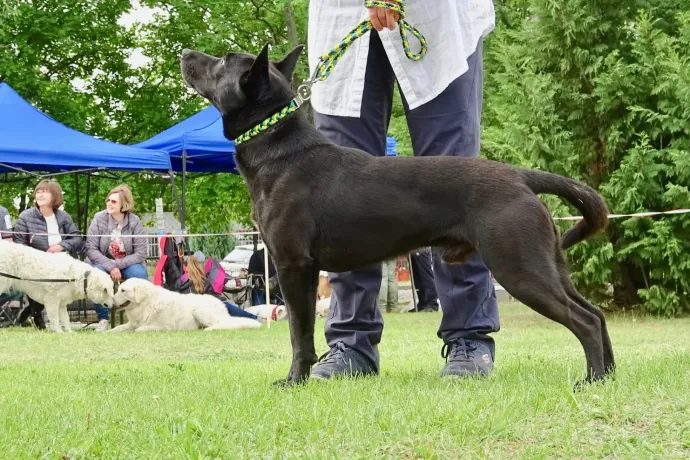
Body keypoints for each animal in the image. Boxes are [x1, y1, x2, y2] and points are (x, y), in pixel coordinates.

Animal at [111, 274, 262, 332]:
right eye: (118, 289)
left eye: (123, 290)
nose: (111, 300)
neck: (145, 304)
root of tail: (221, 303)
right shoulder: (131, 323)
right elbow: (117, 328)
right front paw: (108, 332)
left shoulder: (165, 327)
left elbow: (139, 329)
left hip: (200, 311)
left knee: (222, 325)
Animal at [180, 45, 616, 386]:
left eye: (223, 61)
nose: (184, 53)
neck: (278, 147)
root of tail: (520, 175)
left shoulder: (292, 265)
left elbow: (299, 334)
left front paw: (294, 381)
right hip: (547, 264)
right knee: (595, 313)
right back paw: (608, 376)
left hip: (519, 267)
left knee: (584, 320)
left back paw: (591, 379)